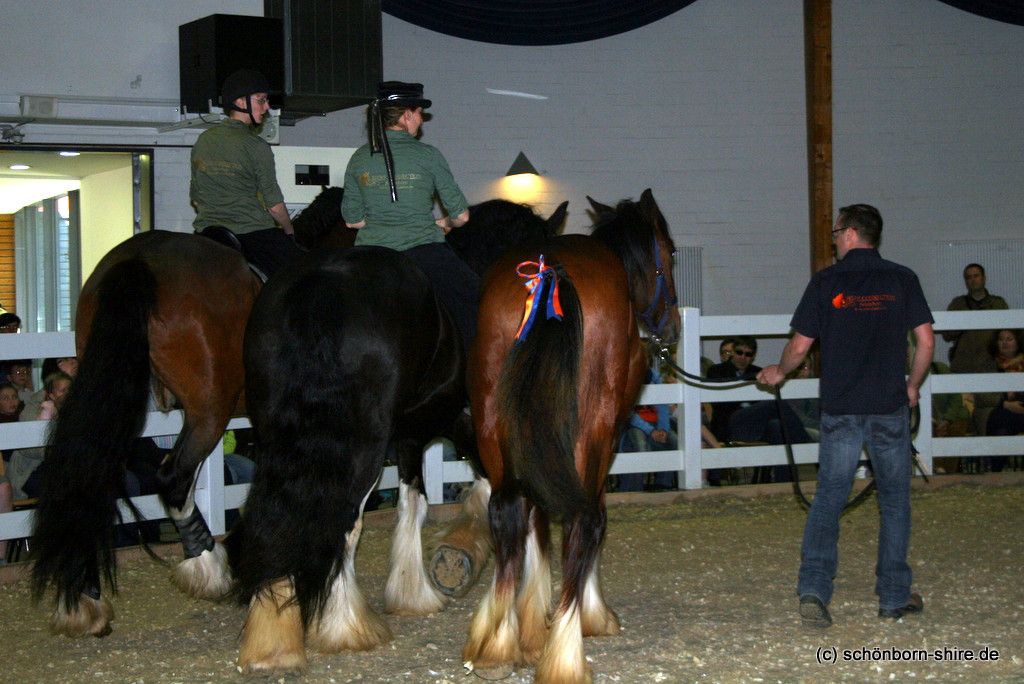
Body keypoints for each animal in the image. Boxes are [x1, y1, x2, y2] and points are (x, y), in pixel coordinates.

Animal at [460, 188, 675, 684]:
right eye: (670, 254)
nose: (672, 326)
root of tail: (549, 272)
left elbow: (537, 521)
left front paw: (530, 622)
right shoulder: (607, 436)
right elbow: (593, 515)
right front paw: (586, 615)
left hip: (494, 423)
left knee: (507, 512)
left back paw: (496, 643)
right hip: (588, 429)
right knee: (583, 518)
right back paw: (565, 651)